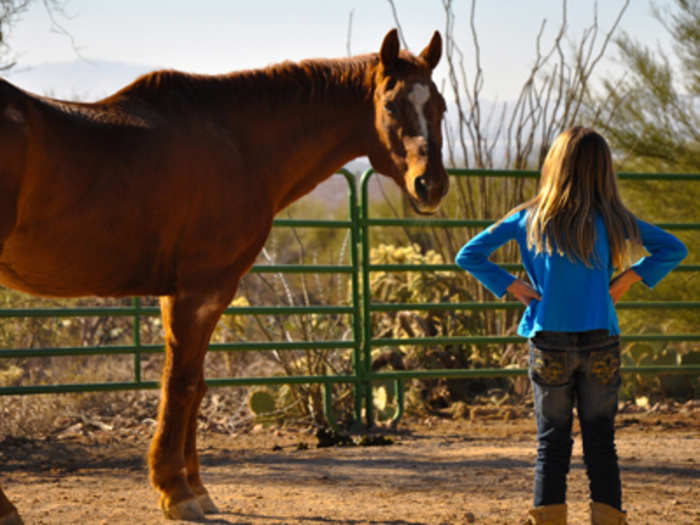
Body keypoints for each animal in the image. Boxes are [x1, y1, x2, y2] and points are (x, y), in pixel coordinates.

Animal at [0, 30, 448, 520]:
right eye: (390, 105)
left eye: (440, 106)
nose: (431, 185)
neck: (240, 144)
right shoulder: (200, 291)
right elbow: (181, 384)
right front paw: (176, 492)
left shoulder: (186, 294)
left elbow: (194, 385)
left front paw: (196, 488)